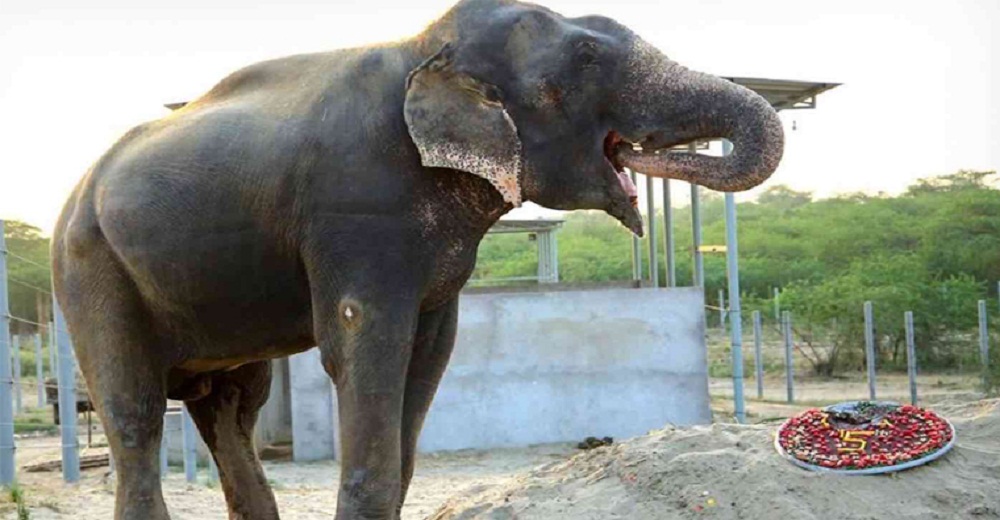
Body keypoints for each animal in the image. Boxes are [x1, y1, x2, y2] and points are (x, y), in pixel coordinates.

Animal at [50, 1, 784, 520]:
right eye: (584, 57)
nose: (645, 154)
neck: (425, 50)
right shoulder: (355, 207)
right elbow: (363, 344)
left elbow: (428, 357)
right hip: (89, 266)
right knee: (136, 408)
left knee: (234, 408)